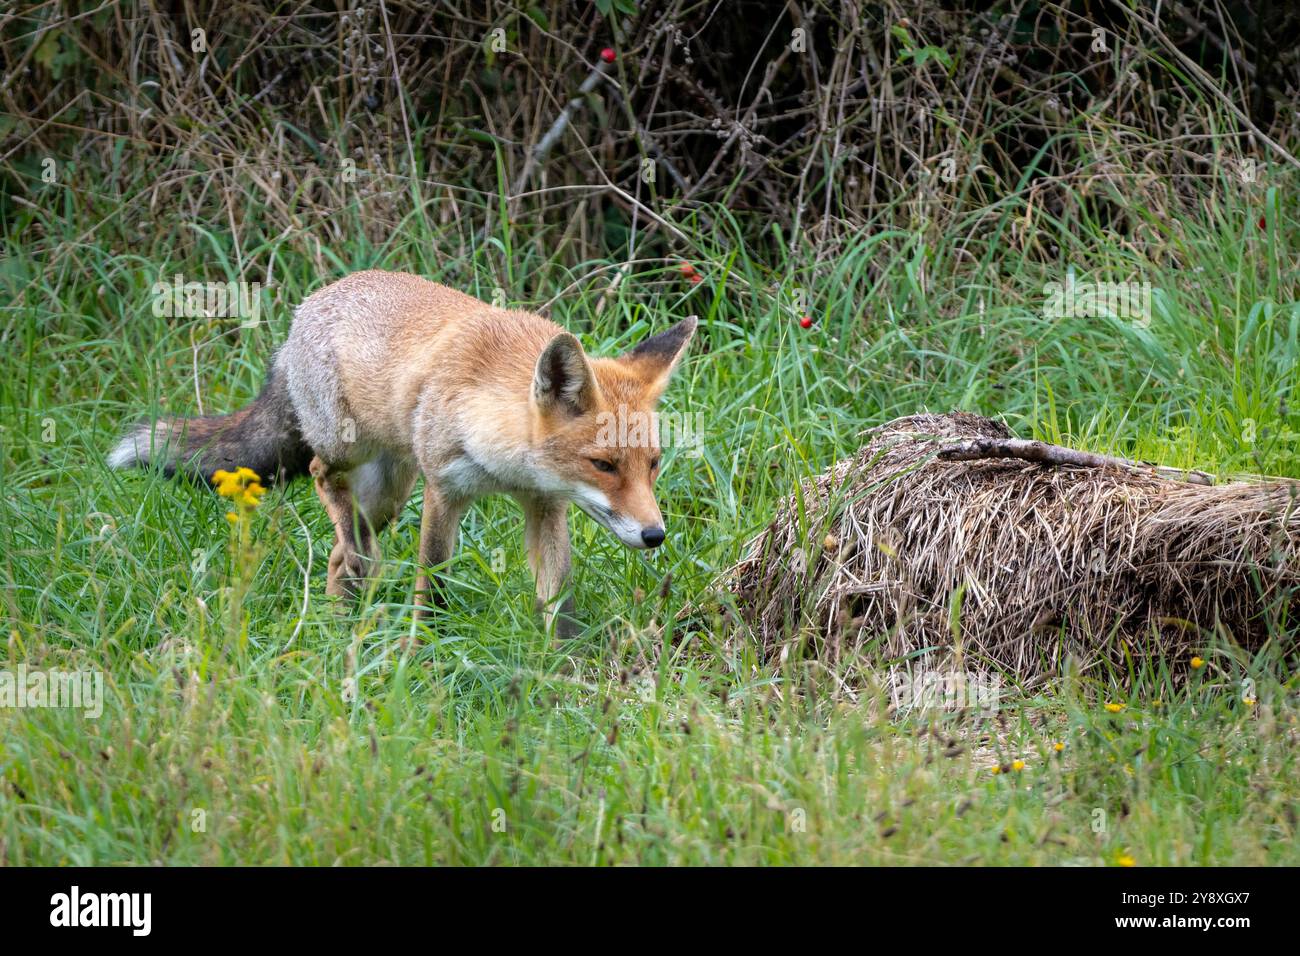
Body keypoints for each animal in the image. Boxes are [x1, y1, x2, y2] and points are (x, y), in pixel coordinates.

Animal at [108, 270, 696, 635]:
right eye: (603, 465)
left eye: (653, 465)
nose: (655, 535)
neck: (504, 463)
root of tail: (308, 305)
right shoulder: (444, 489)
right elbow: (431, 583)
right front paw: (425, 652)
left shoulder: (545, 505)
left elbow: (559, 599)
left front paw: (562, 664)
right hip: (353, 450)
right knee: (323, 481)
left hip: (391, 491)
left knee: (339, 555)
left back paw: (336, 625)